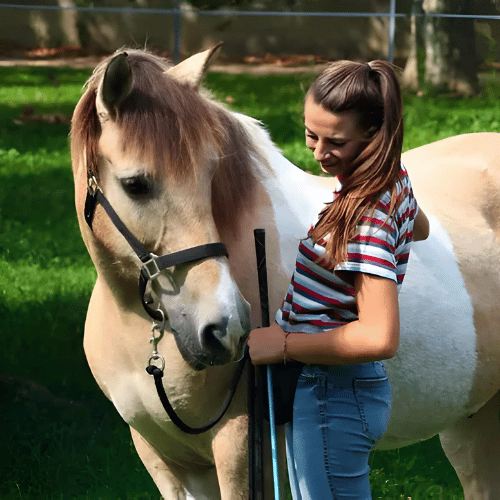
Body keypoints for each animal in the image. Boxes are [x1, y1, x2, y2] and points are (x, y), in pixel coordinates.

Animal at [70, 45, 500, 498]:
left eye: (210, 176)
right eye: (135, 184)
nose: (227, 327)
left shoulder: (240, 449)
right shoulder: (161, 458)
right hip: (472, 426)